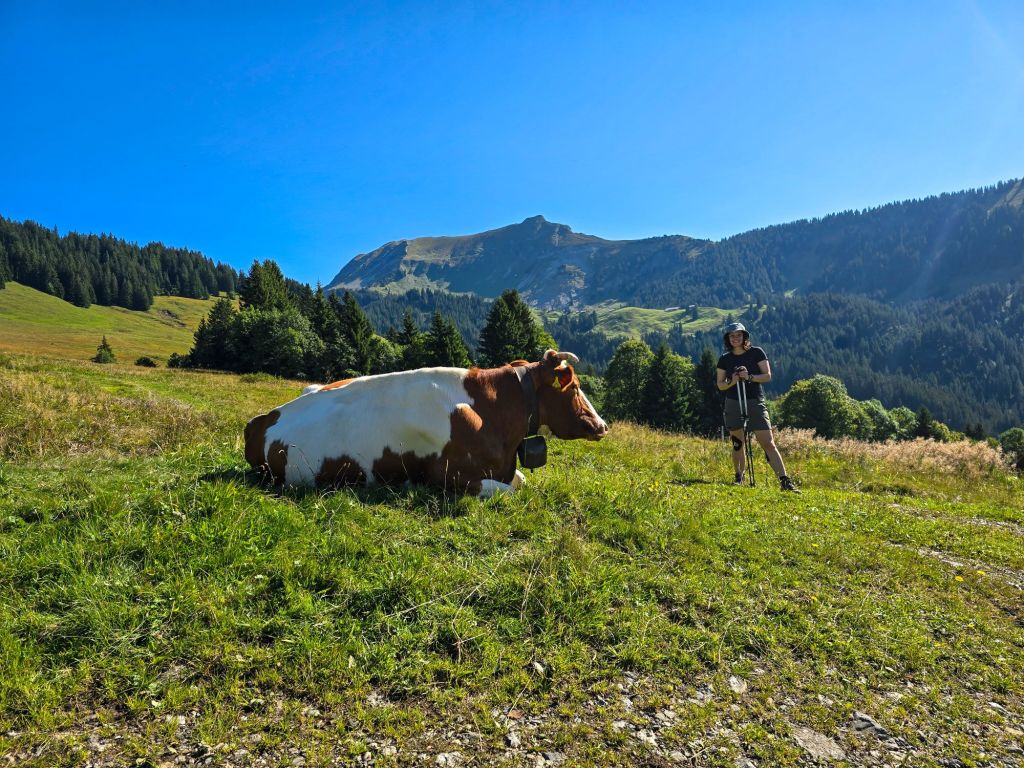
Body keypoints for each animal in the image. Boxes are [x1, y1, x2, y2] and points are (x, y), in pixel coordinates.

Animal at [243, 349, 608, 497]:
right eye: (574, 386)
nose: (602, 425)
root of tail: (263, 419)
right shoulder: (444, 474)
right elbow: (509, 490)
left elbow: (520, 480)